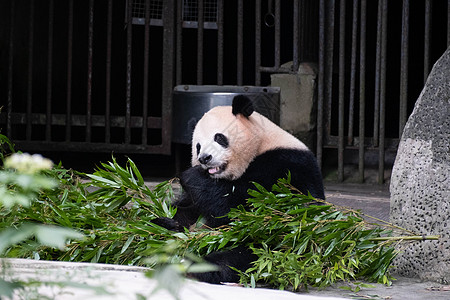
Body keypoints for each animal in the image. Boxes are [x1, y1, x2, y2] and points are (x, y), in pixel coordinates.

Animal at [154, 95, 324, 284]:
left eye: (219, 137)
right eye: (197, 146)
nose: (204, 158)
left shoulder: (286, 168)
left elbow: (243, 208)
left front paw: (191, 175)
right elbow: (187, 207)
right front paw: (170, 221)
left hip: (276, 245)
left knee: (248, 255)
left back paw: (198, 265)